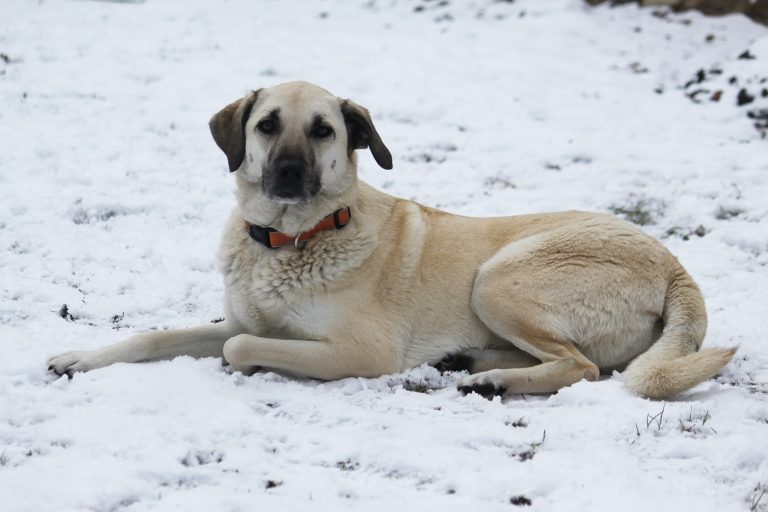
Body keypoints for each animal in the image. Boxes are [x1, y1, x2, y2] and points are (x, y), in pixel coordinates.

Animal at [46, 81, 732, 400]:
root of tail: (676, 267)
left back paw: (492, 381)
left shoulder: (360, 352)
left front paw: (250, 362)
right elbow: (157, 336)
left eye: (323, 131)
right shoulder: (241, 316)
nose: (288, 173)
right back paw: (473, 364)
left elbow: (240, 347)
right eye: (267, 125)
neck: (291, 240)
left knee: (584, 366)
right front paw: (78, 358)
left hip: (499, 277)